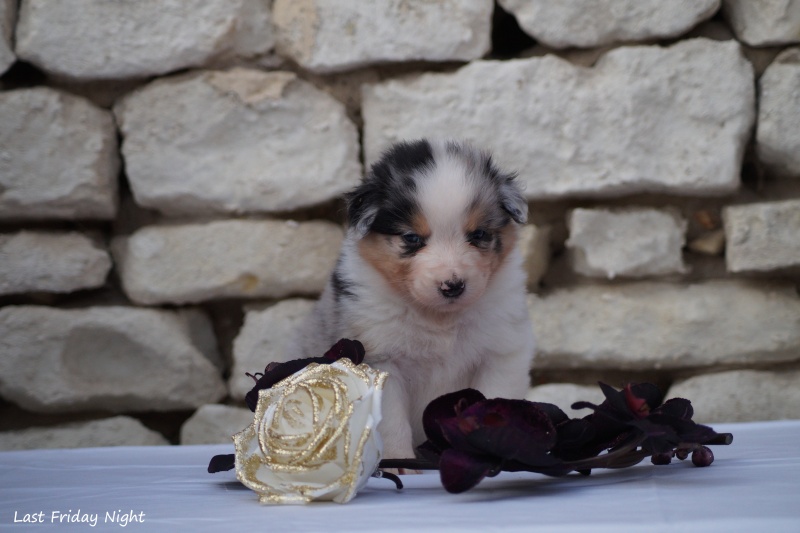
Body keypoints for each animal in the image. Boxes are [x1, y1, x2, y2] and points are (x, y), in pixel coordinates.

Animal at [290, 139, 536, 460]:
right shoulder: (381, 359)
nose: (452, 286)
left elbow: (495, 400)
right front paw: (401, 463)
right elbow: (391, 423)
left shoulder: (502, 351)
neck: (439, 317)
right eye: (411, 238)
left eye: (479, 234)